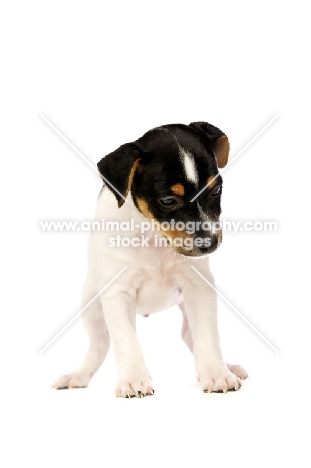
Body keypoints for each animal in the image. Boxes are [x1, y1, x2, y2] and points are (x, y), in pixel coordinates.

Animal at [53, 121, 249, 398]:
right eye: (168, 200)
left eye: (216, 190)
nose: (210, 243)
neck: (155, 237)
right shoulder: (117, 293)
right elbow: (125, 340)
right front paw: (134, 380)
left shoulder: (199, 287)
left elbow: (208, 336)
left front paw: (216, 373)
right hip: (91, 307)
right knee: (101, 343)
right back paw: (77, 375)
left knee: (189, 334)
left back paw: (226, 367)